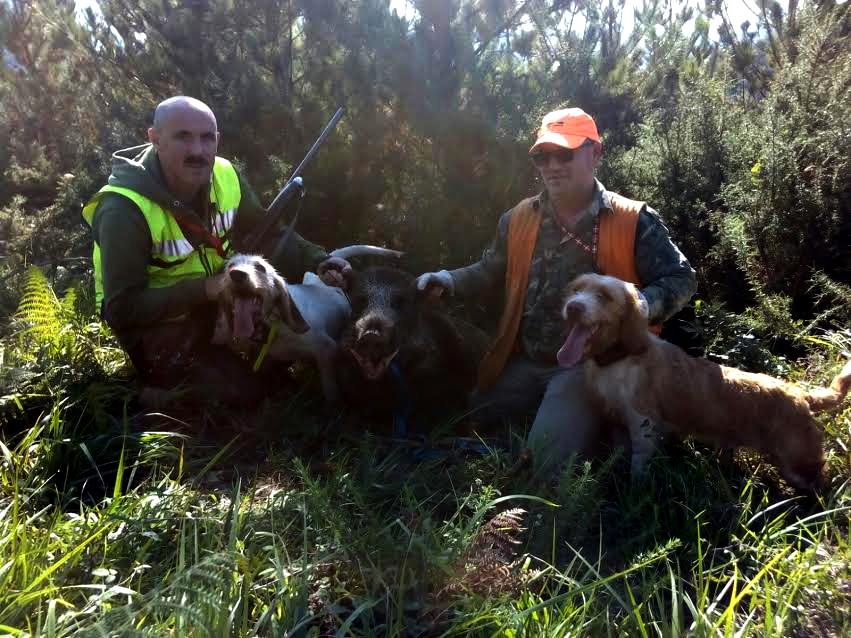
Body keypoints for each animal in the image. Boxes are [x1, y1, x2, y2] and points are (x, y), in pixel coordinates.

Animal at [560, 274, 851, 490]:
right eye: (575, 290)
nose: (573, 307)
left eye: (604, 296)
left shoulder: (644, 426)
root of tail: (801, 395)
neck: (620, 358)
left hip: (800, 465)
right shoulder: (618, 423)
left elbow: (638, 469)